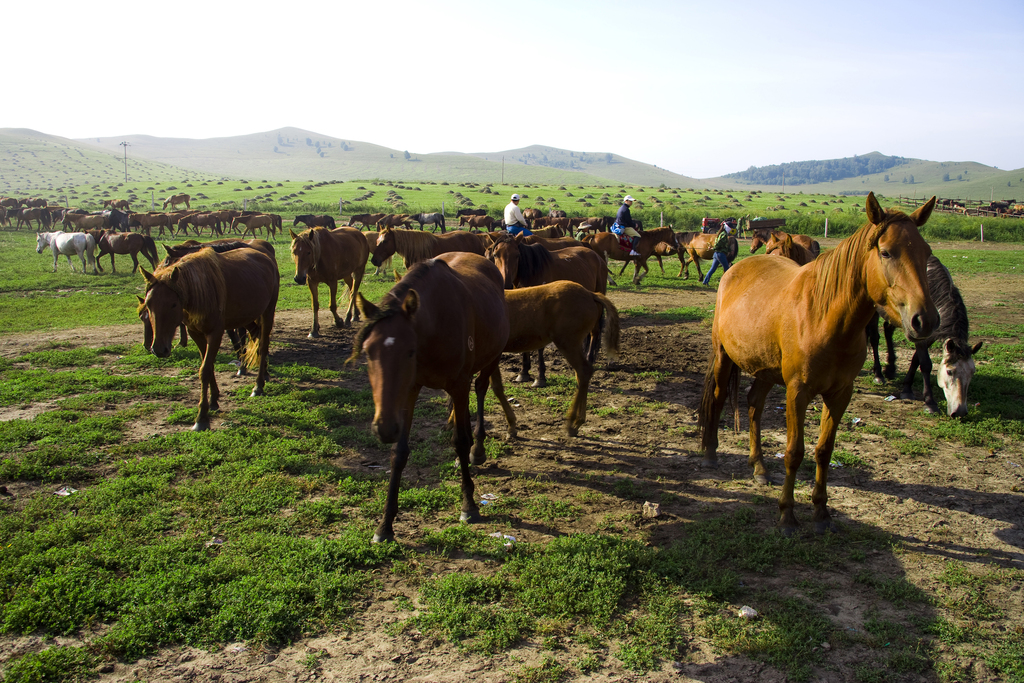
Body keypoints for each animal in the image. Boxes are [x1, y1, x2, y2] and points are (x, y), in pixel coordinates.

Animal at [142, 246, 280, 432]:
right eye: (149, 305)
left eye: (173, 304)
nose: (158, 349)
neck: (200, 292)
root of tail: (264, 256)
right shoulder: (195, 333)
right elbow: (208, 365)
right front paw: (214, 400)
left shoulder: (215, 333)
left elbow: (205, 370)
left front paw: (201, 417)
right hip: (247, 316)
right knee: (256, 340)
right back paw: (261, 371)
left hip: (267, 312)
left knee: (263, 345)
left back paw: (258, 386)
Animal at [350, 250, 509, 544]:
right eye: (367, 352)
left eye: (409, 351)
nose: (384, 428)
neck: (435, 322)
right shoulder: (408, 392)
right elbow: (399, 453)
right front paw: (385, 525)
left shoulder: (459, 384)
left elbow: (460, 440)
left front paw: (469, 505)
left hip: (492, 357)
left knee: (481, 389)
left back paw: (478, 449)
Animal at [491, 282, 618, 438]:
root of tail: (590, 294)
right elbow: (496, 387)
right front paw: (511, 426)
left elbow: (496, 388)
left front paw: (511, 427)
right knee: (581, 375)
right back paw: (578, 422)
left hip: (567, 343)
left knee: (584, 371)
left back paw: (572, 423)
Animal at [700, 191, 937, 532]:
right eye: (886, 252)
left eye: (926, 252)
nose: (925, 319)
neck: (825, 317)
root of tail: (735, 269)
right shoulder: (797, 392)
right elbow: (794, 452)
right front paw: (787, 513)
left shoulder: (840, 394)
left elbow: (824, 451)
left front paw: (821, 510)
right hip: (724, 356)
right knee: (719, 398)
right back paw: (710, 452)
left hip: (766, 371)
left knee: (754, 404)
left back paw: (759, 466)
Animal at [868, 254, 978, 417]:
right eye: (949, 371)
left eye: (972, 372)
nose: (960, 412)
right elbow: (925, 363)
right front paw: (930, 403)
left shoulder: (931, 333)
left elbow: (916, 359)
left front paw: (907, 389)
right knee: (875, 338)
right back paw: (878, 374)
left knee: (888, 330)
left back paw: (890, 369)